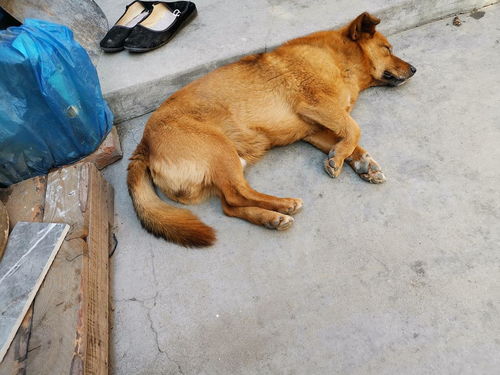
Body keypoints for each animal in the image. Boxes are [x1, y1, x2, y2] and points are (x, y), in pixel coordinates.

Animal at [127, 11, 416, 247]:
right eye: (387, 49)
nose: (414, 69)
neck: (338, 59)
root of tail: (144, 145)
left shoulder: (313, 129)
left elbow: (348, 138)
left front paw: (361, 162)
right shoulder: (317, 104)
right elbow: (354, 129)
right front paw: (342, 158)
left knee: (229, 205)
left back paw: (270, 218)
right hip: (220, 150)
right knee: (238, 194)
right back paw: (283, 205)